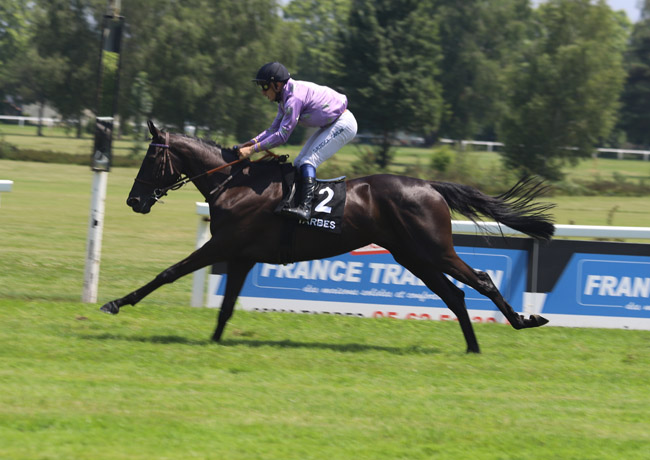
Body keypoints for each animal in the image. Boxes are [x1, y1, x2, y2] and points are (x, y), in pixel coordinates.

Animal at [100, 120, 555, 353]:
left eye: (151, 158)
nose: (133, 200)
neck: (234, 184)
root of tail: (429, 185)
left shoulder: (222, 246)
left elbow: (167, 273)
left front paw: (116, 303)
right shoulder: (242, 255)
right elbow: (226, 305)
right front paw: (214, 341)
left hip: (433, 249)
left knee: (480, 280)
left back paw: (522, 320)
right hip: (412, 256)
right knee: (454, 294)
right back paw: (473, 346)